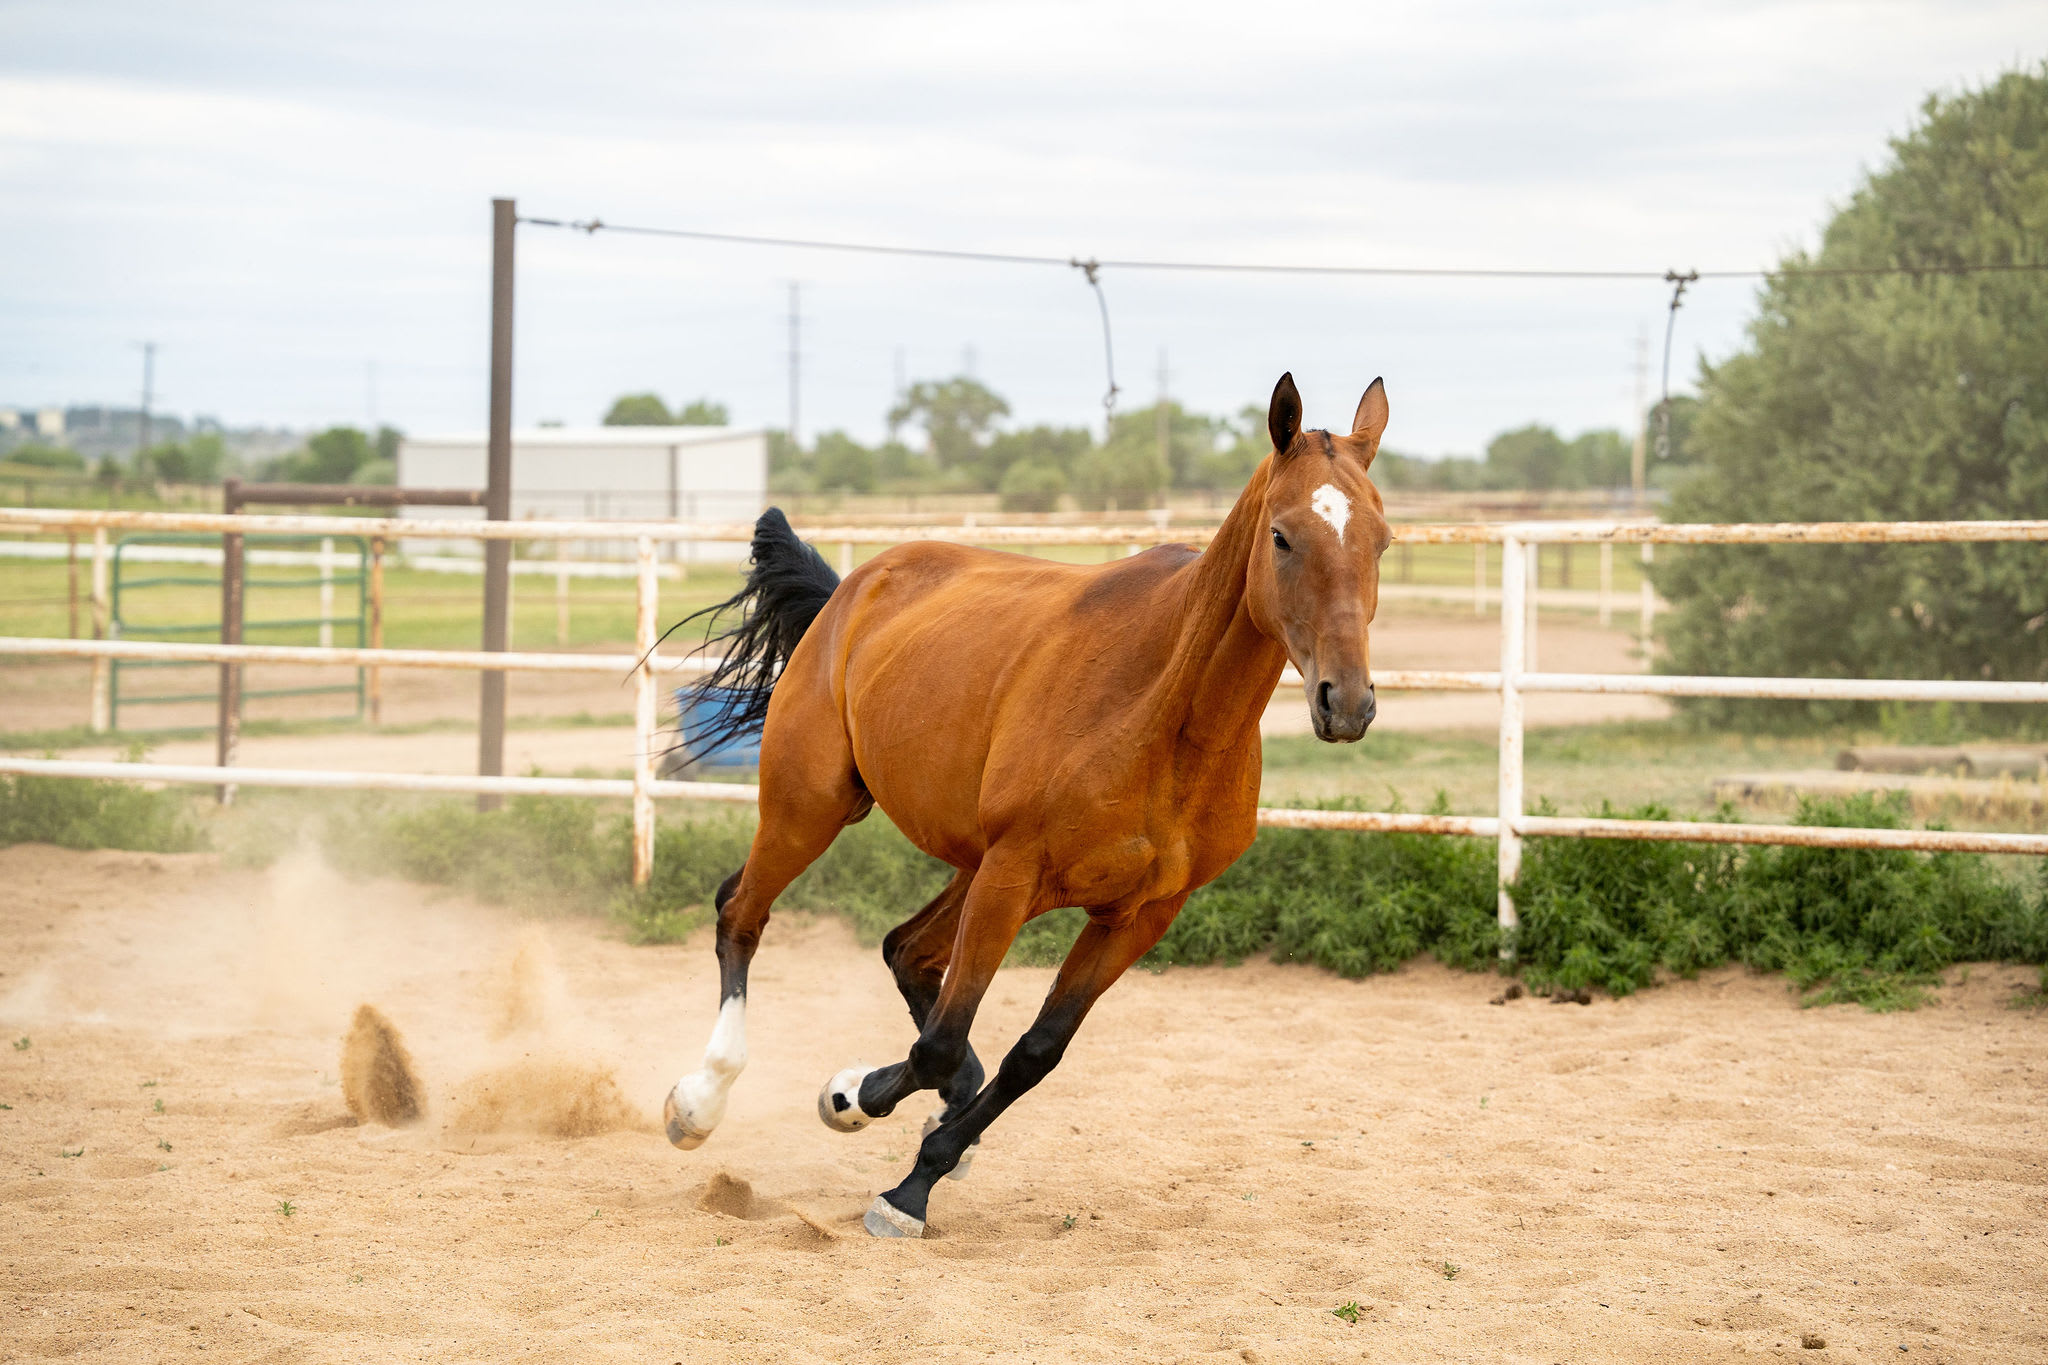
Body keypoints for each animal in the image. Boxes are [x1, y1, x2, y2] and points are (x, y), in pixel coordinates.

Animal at [661, 373, 1391, 1238]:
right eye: (1282, 536)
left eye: (1381, 540)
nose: (1347, 701)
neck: (1162, 710)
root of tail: (854, 588)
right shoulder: (1013, 872)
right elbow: (942, 1043)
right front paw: (866, 1121)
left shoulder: (1139, 914)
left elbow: (1032, 1053)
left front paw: (915, 1161)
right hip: (812, 806)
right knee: (742, 911)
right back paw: (699, 1100)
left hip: (968, 862)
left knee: (906, 950)